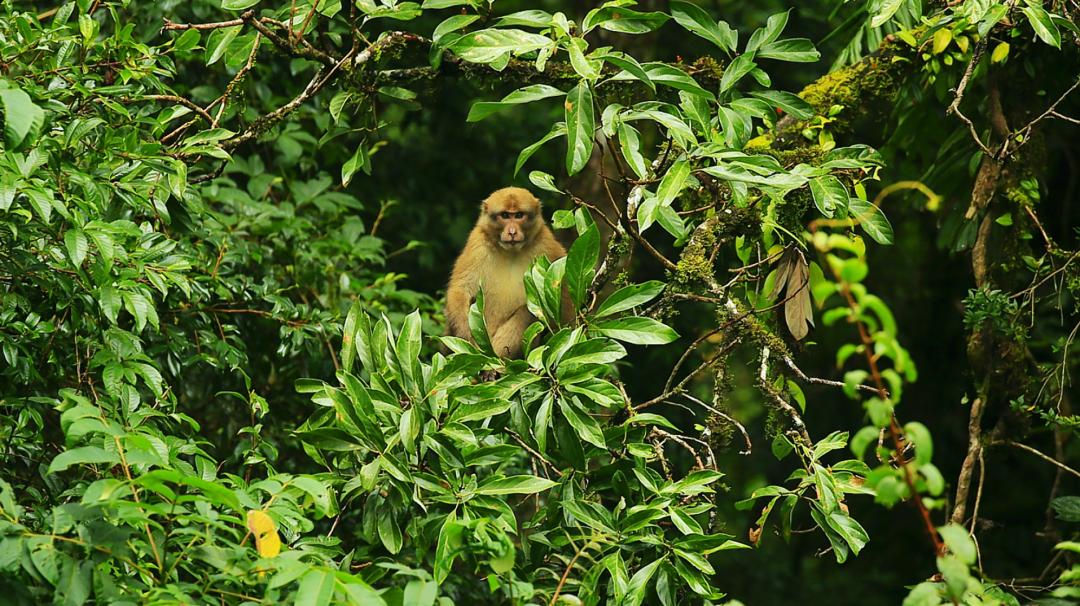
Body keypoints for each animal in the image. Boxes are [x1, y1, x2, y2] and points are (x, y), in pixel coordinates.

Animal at [444, 186, 570, 356]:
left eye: (518, 215)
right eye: (504, 215)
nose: (512, 232)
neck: (511, 251)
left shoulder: (546, 244)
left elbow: (565, 294)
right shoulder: (478, 243)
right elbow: (461, 290)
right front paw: (466, 337)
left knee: (527, 313)